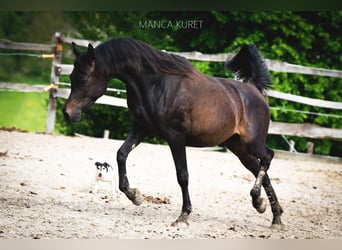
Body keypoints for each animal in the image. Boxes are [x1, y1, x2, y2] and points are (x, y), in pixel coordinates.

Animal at [63, 38, 284, 228]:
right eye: (71, 77)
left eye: (84, 79)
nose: (67, 113)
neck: (157, 85)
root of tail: (254, 89)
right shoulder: (141, 128)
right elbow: (121, 154)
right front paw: (135, 196)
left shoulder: (176, 137)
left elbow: (182, 175)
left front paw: (183, 216)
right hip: (238, 147)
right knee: (261, 172)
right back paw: (272, 214)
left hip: (252, 143)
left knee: (268, 157)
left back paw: (259, 201)